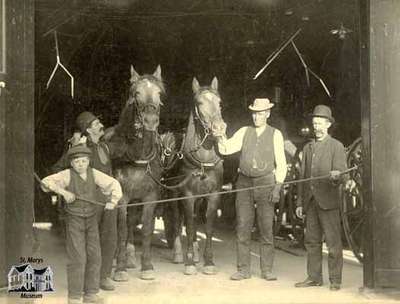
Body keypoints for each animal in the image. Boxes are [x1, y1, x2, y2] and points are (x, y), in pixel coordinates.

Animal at [107, 64, 165, 280]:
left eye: (159, 93)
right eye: (136, 93)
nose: (150, 120)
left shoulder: (150, 197)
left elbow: (146, 229)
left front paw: (146, 266)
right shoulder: (122, 198)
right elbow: (121, 229)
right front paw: (120, 269)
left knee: (132, 221)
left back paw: (130, 256)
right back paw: (118, 258)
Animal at [169, 76, 228, 276]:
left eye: (219, 102)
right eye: (199, 103)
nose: (219, 128)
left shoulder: (213, 195)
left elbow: (207, 227)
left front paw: (208, 261)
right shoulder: (187, 195)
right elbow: (188, 225)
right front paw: (189, 264)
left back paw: (195, 252)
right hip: (174, 195)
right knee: (178, 219)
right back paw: (179, 254)